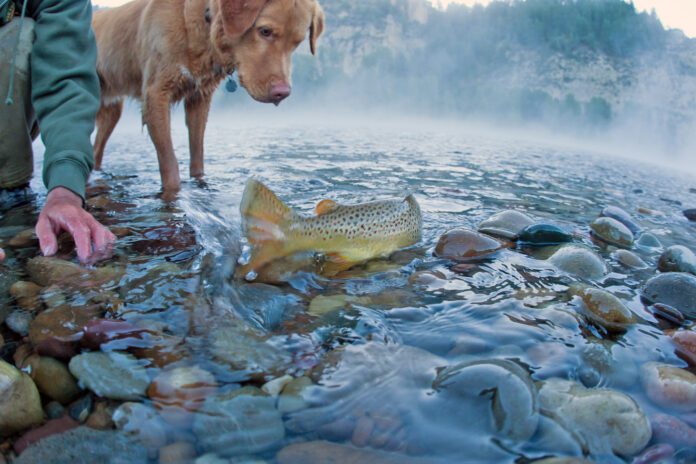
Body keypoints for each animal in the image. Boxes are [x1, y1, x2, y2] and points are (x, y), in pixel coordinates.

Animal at [90, 0, 326, 192]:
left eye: (297, 42)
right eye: (265, 31)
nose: (282, 93)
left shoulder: (199, 98)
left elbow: (197, 157)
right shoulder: (156, 95)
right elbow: (170, 166)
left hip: (112, 111)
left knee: (96, 151)